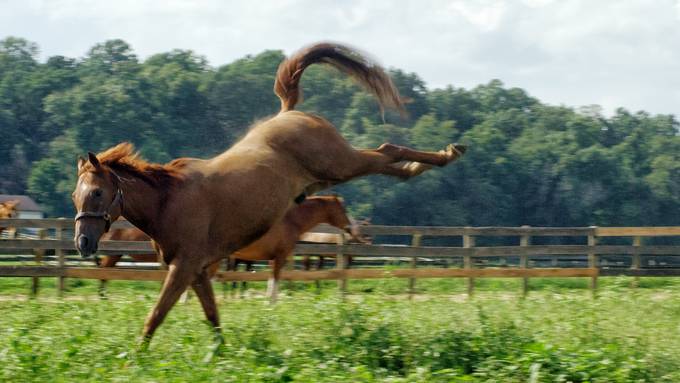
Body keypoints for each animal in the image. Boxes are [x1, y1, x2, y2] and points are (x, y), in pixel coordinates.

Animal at [73, 42, 468, 348]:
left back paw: (448, 153)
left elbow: (155, 316)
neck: (169, 200)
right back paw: (426, 165)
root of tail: (289, 113)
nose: (82, 243)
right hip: (328, 176)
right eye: (76, 197)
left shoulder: (184, 268)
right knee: (389, 161)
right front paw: (220, 354)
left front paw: (135, 358)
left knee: (387, 150)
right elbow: (212, 315)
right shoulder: (199, 270)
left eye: (97, 193)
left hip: (340, 163)